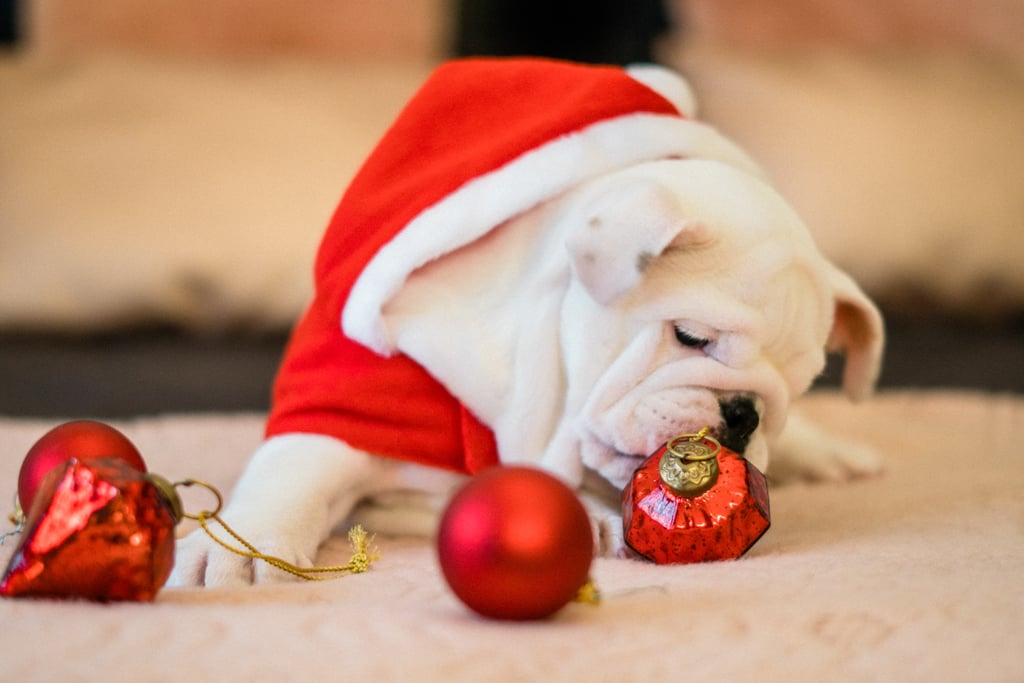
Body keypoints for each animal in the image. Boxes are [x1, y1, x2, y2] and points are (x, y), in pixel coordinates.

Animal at [167, 61, 880, 589]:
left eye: (799, 386)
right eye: (691, 337)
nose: (744, 413)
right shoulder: (349, 401)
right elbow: (293, 471)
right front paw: (243, 546)